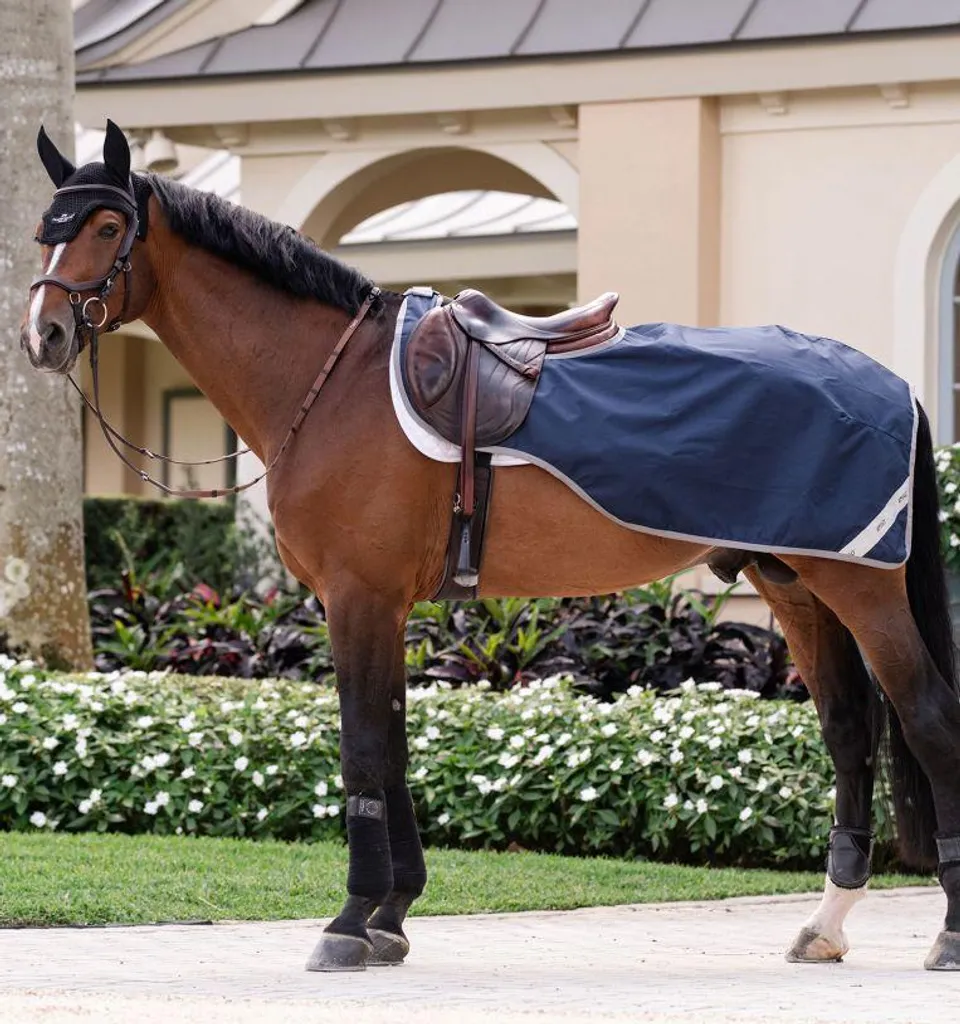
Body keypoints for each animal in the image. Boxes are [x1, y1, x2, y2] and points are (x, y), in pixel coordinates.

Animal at [19, 120, 960, 973]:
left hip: (861, 589)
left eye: (106, 225)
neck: (333, 382)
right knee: (848, 732)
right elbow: (394, 745)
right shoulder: (383, 604)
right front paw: (391, 917)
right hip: (794, 585)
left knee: (927, 719)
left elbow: (363, 749)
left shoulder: (356, 596)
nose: (45, 335)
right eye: (43, 228)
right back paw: (826, 927)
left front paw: (349, 921)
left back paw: (946, 935)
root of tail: (890, 383)